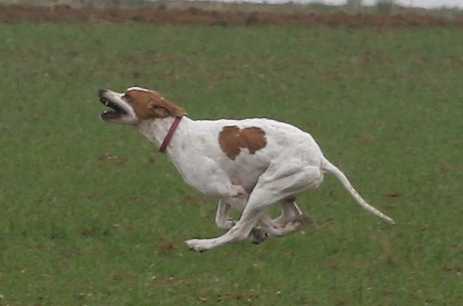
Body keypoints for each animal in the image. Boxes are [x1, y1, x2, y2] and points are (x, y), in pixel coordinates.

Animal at [98, 86, 396, 251]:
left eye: (127, 95)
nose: (101, 90)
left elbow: (246, 225)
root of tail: (319, 158)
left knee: (254, 226)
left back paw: (201, 245)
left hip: (266, 188)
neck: (177, 133)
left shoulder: (236, 192)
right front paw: (255, 229)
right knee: (294, 215)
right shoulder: (229, 192)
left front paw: (258, 231)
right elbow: (223, 220)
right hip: (279, 189)